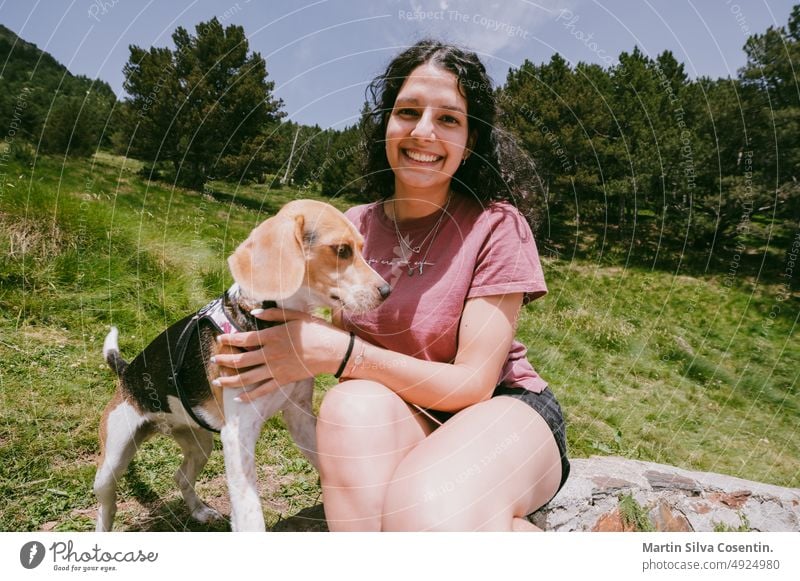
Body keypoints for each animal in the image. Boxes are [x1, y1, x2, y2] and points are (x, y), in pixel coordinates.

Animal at [94, 199, 390, 532]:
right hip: (112, 462)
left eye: (362, 248)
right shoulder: (238, 435)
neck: (265, 320)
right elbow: (250, 516)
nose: (386, 291)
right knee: (107, 507)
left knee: (180, 476)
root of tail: (126, 371)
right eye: (341, 250)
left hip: (201, 444)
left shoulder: (299, 415)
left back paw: (200, 511)